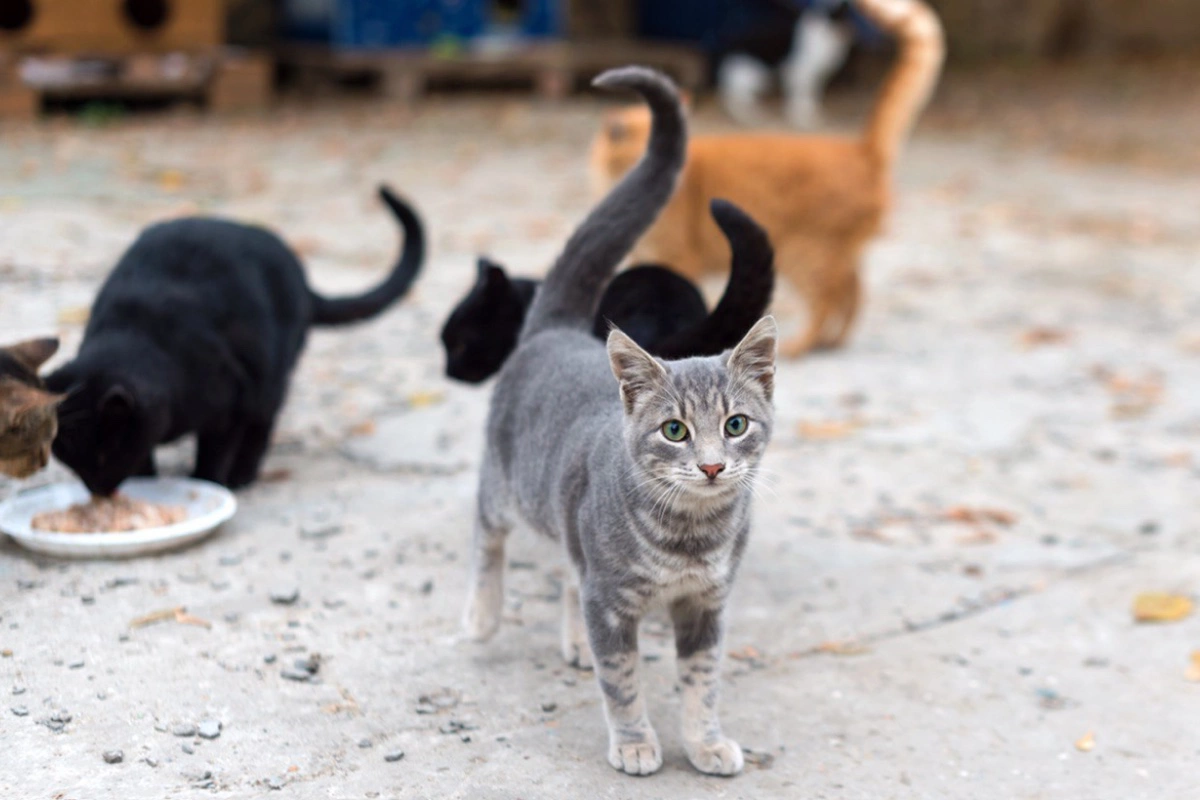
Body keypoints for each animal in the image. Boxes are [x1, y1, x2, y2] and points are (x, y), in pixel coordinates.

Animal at [48, 187, 427, 494]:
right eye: (69, 459)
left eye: (103, 456)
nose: (97, 489)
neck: (135, 332)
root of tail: (302, 280)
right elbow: (145, 452)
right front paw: (145, 481)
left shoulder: (229, 403)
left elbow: (214, 453)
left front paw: (207, 482)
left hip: (269, 381)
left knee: (262, 426)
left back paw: (242, 476)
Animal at [590, 0, 945, 357]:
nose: (677, 168)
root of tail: (861, 149)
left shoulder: (679, 259)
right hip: (830, 254)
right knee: (853, 291)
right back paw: (834, 341)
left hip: (804, 254)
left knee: (829, 298)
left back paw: (801, 345)